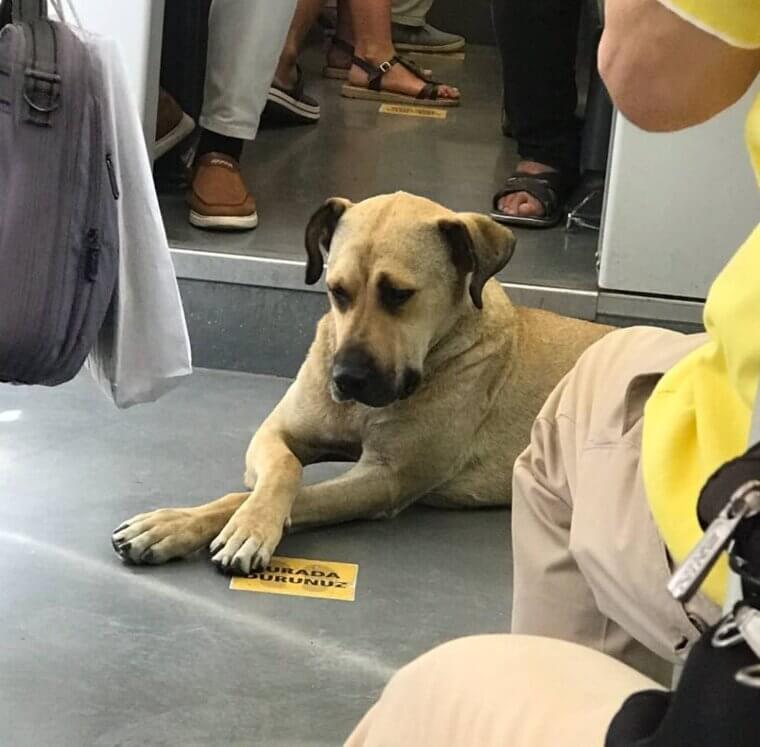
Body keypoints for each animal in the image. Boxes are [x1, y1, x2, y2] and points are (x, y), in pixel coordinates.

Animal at [111, 194, 612, 580]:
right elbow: (283, 471)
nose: (346, 377)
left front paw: (243, 527)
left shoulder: (385, 479)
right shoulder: (276, 433)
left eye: (399, 295)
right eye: (337, 290)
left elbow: (279, 494)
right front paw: (178, 524)